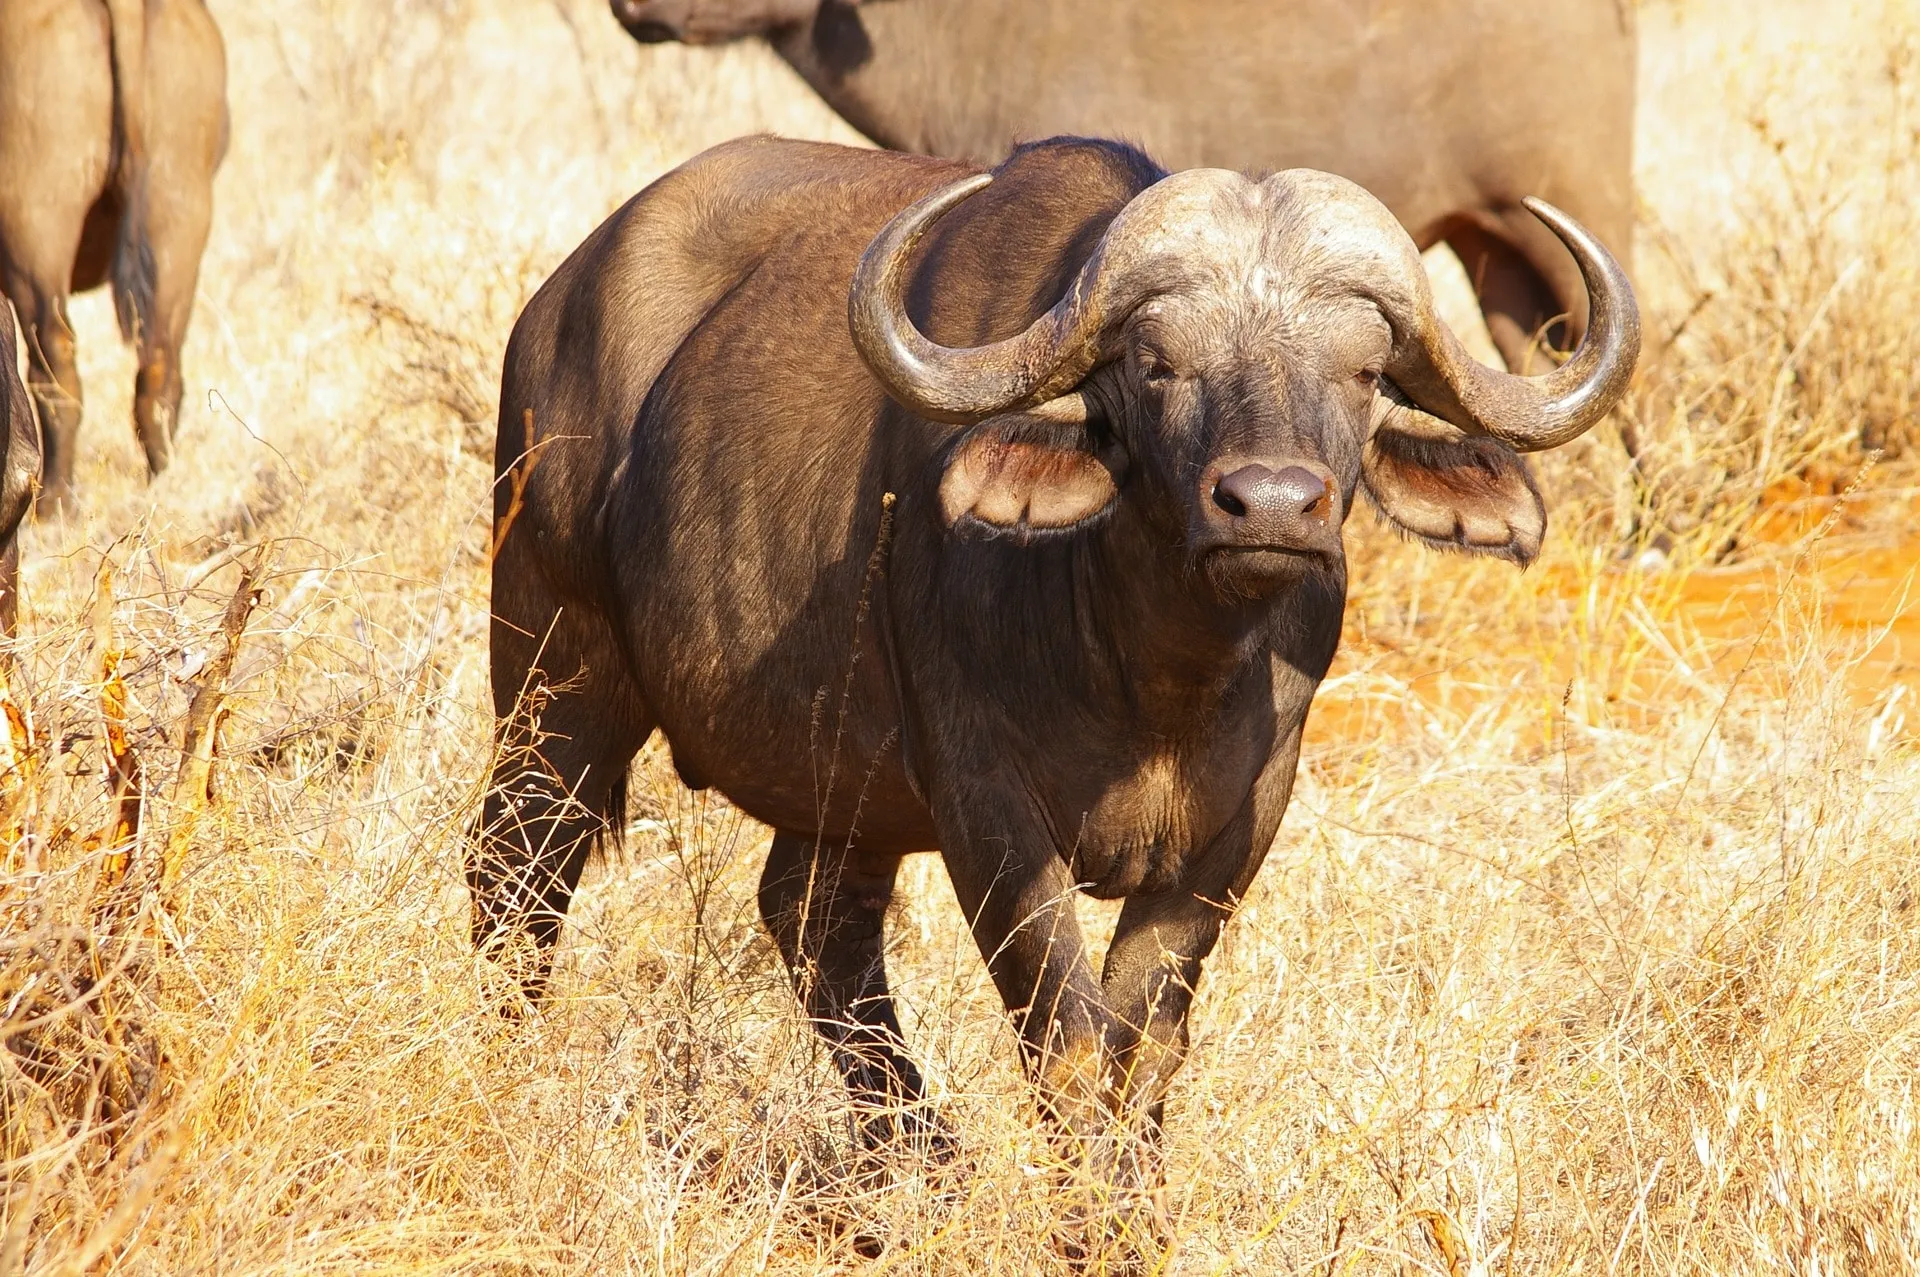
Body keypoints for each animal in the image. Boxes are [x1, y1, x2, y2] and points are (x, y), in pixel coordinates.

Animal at [0, 0, 228, 506]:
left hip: (34, 233)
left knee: (56, 368)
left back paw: (55, 503)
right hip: (179, 212)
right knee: (159, 370)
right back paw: (163, 491)